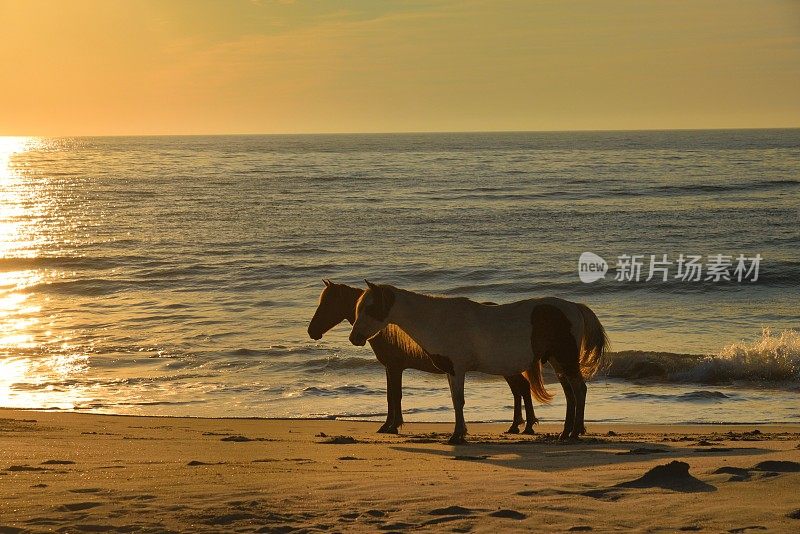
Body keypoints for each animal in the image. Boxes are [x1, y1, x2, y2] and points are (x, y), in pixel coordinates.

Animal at [308, 280, 536, 436]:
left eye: (328, 304)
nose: (312, 332)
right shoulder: (391, 368)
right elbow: (392, 395)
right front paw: (390, 425)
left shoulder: (394, 367)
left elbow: (394, 396)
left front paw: (391, 425)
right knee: (519, 390)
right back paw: (517, 426)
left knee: (522, 389)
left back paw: (523, 426)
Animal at [348, 282, 608, 446]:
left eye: (370, 308)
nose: (354, 338)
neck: (438, 319)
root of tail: (574, 307)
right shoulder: (452, 372)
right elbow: (456, 401)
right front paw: (460, 433)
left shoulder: (457, 369)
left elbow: (458, 401)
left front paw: (457, 436)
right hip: (557, 361)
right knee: (570, 394)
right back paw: (566, 432)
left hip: (565, 359)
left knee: (579, 390)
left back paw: (574, 432)